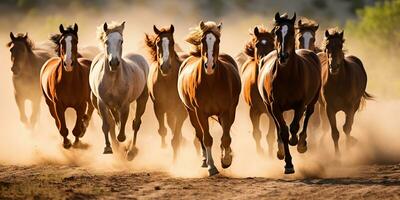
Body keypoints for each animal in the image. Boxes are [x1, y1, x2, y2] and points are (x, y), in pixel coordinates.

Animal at [89, 21, 148, 160]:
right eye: (106, 41)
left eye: (121, 41)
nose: (114, 62)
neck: (113, 80)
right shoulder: (102, 103)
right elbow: (107, 125)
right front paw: (107, 148)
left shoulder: (124, 104)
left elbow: (123, 124)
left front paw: (122, 140)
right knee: (113, 121)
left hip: (142, 99)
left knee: (136, 123)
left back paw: (131, 151)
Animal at [144, 24, 188, 162]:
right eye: (158, 43)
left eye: (172, 42)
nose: (165, 66)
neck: (168, 81)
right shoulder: (158, 107)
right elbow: (163, 130)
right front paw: (163, 146)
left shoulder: (181, 110)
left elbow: (175, 139)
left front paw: (175, 162)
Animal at [178, 21, 241, 176]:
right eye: (202, 40)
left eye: (218, 40)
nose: (210, 66)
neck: (211, 82)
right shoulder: (200, 112)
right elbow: (207, 138)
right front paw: (211, 166)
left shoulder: (226, 111)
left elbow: (226, 137)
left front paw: (226, 159)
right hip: (191, 113)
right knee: (199, 134)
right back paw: (204, 160)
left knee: (225, 131)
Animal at [239, 25, 276, 156]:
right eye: (257, 45)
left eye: (272, 44)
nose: (264, 60)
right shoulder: (253, 111)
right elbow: (257, 133)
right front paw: (260, 154)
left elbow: (270, 135)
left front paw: (270, 156)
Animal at [258, 13, 320, 174]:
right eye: (276, 32)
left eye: (292, 32)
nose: (283, 56)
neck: (287, 77)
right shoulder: (274, 106)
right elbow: (283, 131)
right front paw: (288, 163)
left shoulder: (300, 104)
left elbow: (294, 127)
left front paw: (296, 141)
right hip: (269, 107)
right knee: (277, 125)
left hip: (313, 100)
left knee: (308, 115)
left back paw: (302, 143)